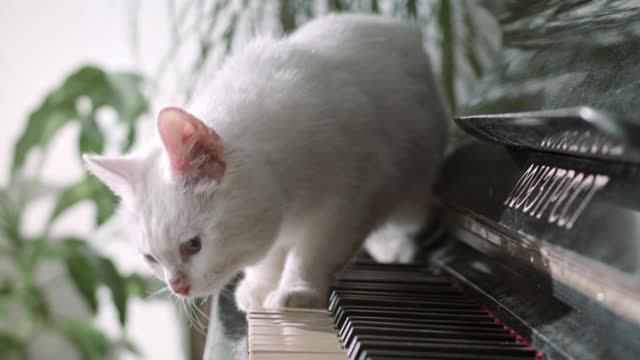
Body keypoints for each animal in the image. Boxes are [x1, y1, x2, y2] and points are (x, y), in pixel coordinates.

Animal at [82, 14, 448, 310]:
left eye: (193, 245)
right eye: (151, 258)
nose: (178, 287)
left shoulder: (357, 194)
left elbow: (315, 250)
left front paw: (298, 289)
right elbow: (269, 253)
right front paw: (260, 285)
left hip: (414, 182)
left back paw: (395, 244)